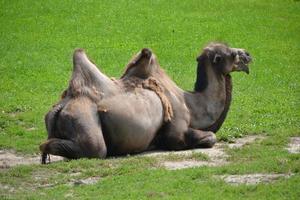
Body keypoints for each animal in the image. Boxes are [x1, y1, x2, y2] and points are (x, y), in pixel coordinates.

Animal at [39, 42, 251, 162]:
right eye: (231, 54)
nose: (248, 54)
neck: (192, 105)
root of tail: (61, 106)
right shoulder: (176, 131)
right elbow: (210, 137)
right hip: (82, 117)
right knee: (95, 149)